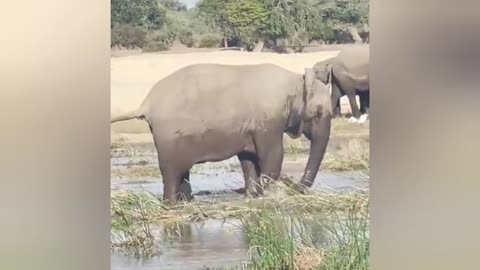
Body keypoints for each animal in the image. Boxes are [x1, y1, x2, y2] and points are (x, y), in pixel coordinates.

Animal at [110, 62, 332, 202]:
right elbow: (272, 155)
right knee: (171, 172)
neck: (295, 80)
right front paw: (272, 195)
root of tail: (145, 104)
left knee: (182, 171)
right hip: (168, 137)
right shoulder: (268, 120)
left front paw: (253, 196)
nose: (295, 187)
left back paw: (187, 201)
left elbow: (248, 157)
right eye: (319, 112)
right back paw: (172, 204)